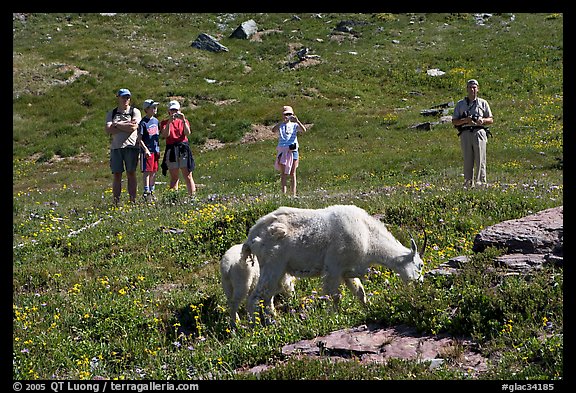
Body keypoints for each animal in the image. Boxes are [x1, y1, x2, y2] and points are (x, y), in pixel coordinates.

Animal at [241, 204, 426, 320]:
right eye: (420, 265)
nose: (420, 283)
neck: (368, 236)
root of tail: (252, 236)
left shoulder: (347, 271)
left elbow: (360, 292)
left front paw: (368, 310)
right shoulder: (334, 268)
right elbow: (334, 296)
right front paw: (333, 318)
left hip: (279, 270)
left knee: (267, 297)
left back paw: (273, 321)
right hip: (272, 265)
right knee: (256, 297)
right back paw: (254, 327)